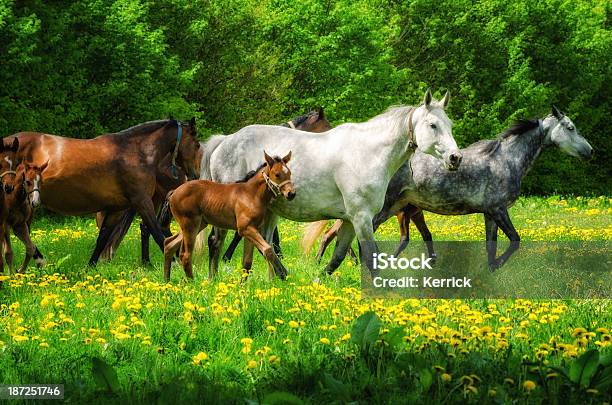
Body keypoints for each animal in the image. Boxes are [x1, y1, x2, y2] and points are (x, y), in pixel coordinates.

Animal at [5, 118, 201, 266]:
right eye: (198, 145)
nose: (195, 176)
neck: (136, 153)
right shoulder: (142, 202)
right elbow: (156, 231)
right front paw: (174, 264)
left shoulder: (117, 208)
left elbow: (102, 238)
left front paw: (90, 266)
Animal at [164, 152, 296, 280]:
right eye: (277, 174)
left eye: (289, 173)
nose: (291, 193)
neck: (251, 195)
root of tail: (174, 192)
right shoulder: (245, 228)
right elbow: (268, 249)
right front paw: (283, 275)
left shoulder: (252, 229)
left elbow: (247, 261)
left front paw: (242, 285)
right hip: (190, 224)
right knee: (185, 255)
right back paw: (192, 282)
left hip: (198, 224)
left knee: (169, 243)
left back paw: (167, 280)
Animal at [203, 90, 462, 276]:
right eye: (432, 125)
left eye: (449, 125)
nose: (455, 158)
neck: (368, 152)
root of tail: (224, 141)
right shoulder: (362, 218)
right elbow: (370, 258)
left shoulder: (348, 221)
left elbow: (336, 259)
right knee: (216, 242)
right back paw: (213, 280)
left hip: (270, 212)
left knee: (264, 246)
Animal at [318, 105, 592, 268]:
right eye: (570, 127)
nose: (590, 152)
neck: (506, 160)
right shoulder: (499, 210)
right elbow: (515, 240)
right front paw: (497, 267)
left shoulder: (490, 214)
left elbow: (491, 248)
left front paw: (490, 273)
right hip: (382, 210)